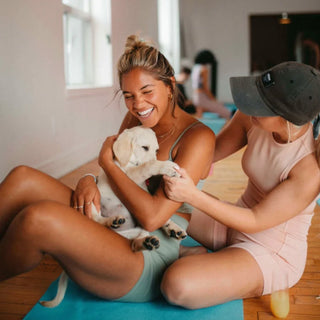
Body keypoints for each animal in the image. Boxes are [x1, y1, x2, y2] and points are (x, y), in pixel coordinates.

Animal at [42, 125, 188, 308]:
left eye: (156, 149)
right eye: (144, 148)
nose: (159, 159)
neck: (128, 163)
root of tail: (118, 232)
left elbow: (163, 218)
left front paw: (173, 227)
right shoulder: (127, 175)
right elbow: (147, 166)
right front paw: (166, 166)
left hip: (137, 230)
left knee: (134, 243)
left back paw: (144, 241)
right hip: (94, 201)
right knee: (97, 219)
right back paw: (112, 221)